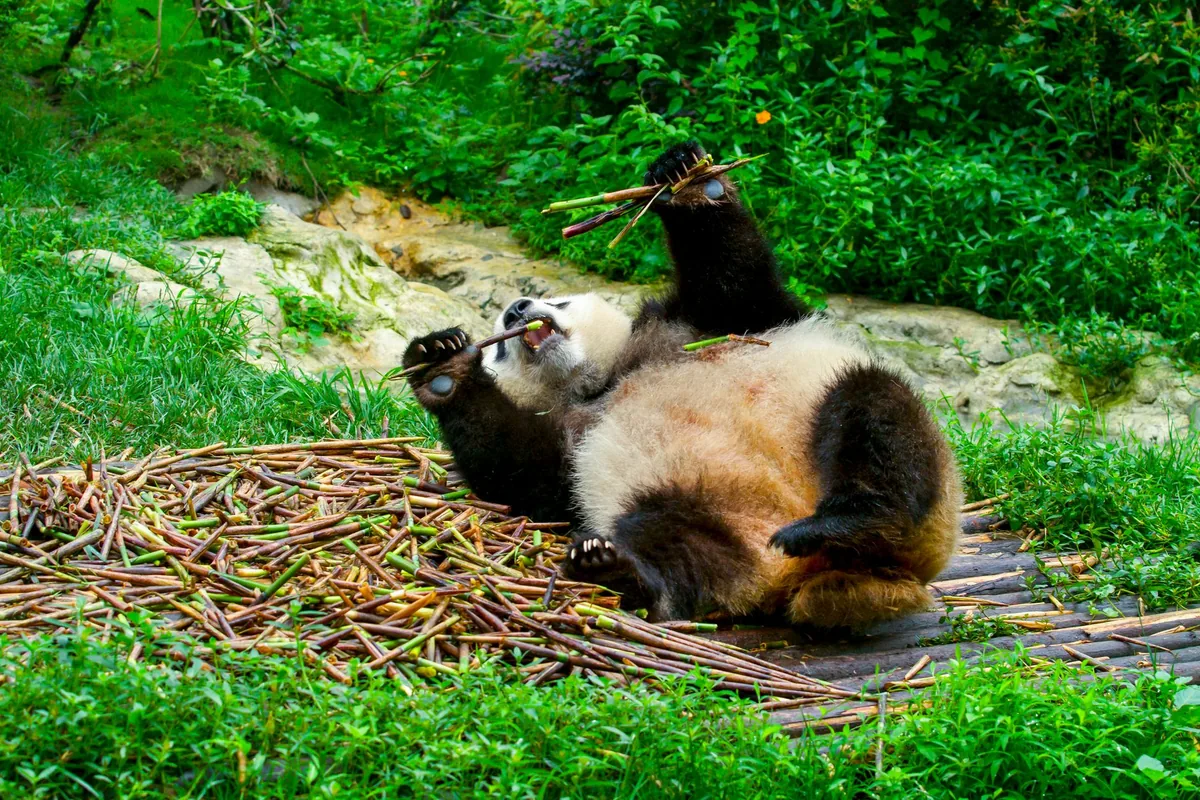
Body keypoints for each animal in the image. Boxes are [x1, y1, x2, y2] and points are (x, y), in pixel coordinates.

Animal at [401, 141, 962, 628]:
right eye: (498, 348)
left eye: (557, 301)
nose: (519, 310)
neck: (604, 379)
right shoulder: (572, 439)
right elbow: (520, 469)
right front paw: (442, 367)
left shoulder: (701, 325)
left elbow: (734, 279)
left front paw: (685, 178)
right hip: (688, 497)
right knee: (673, 541)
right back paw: (615, 567)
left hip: (857, 430)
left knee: (874, 413)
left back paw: (858, 516)